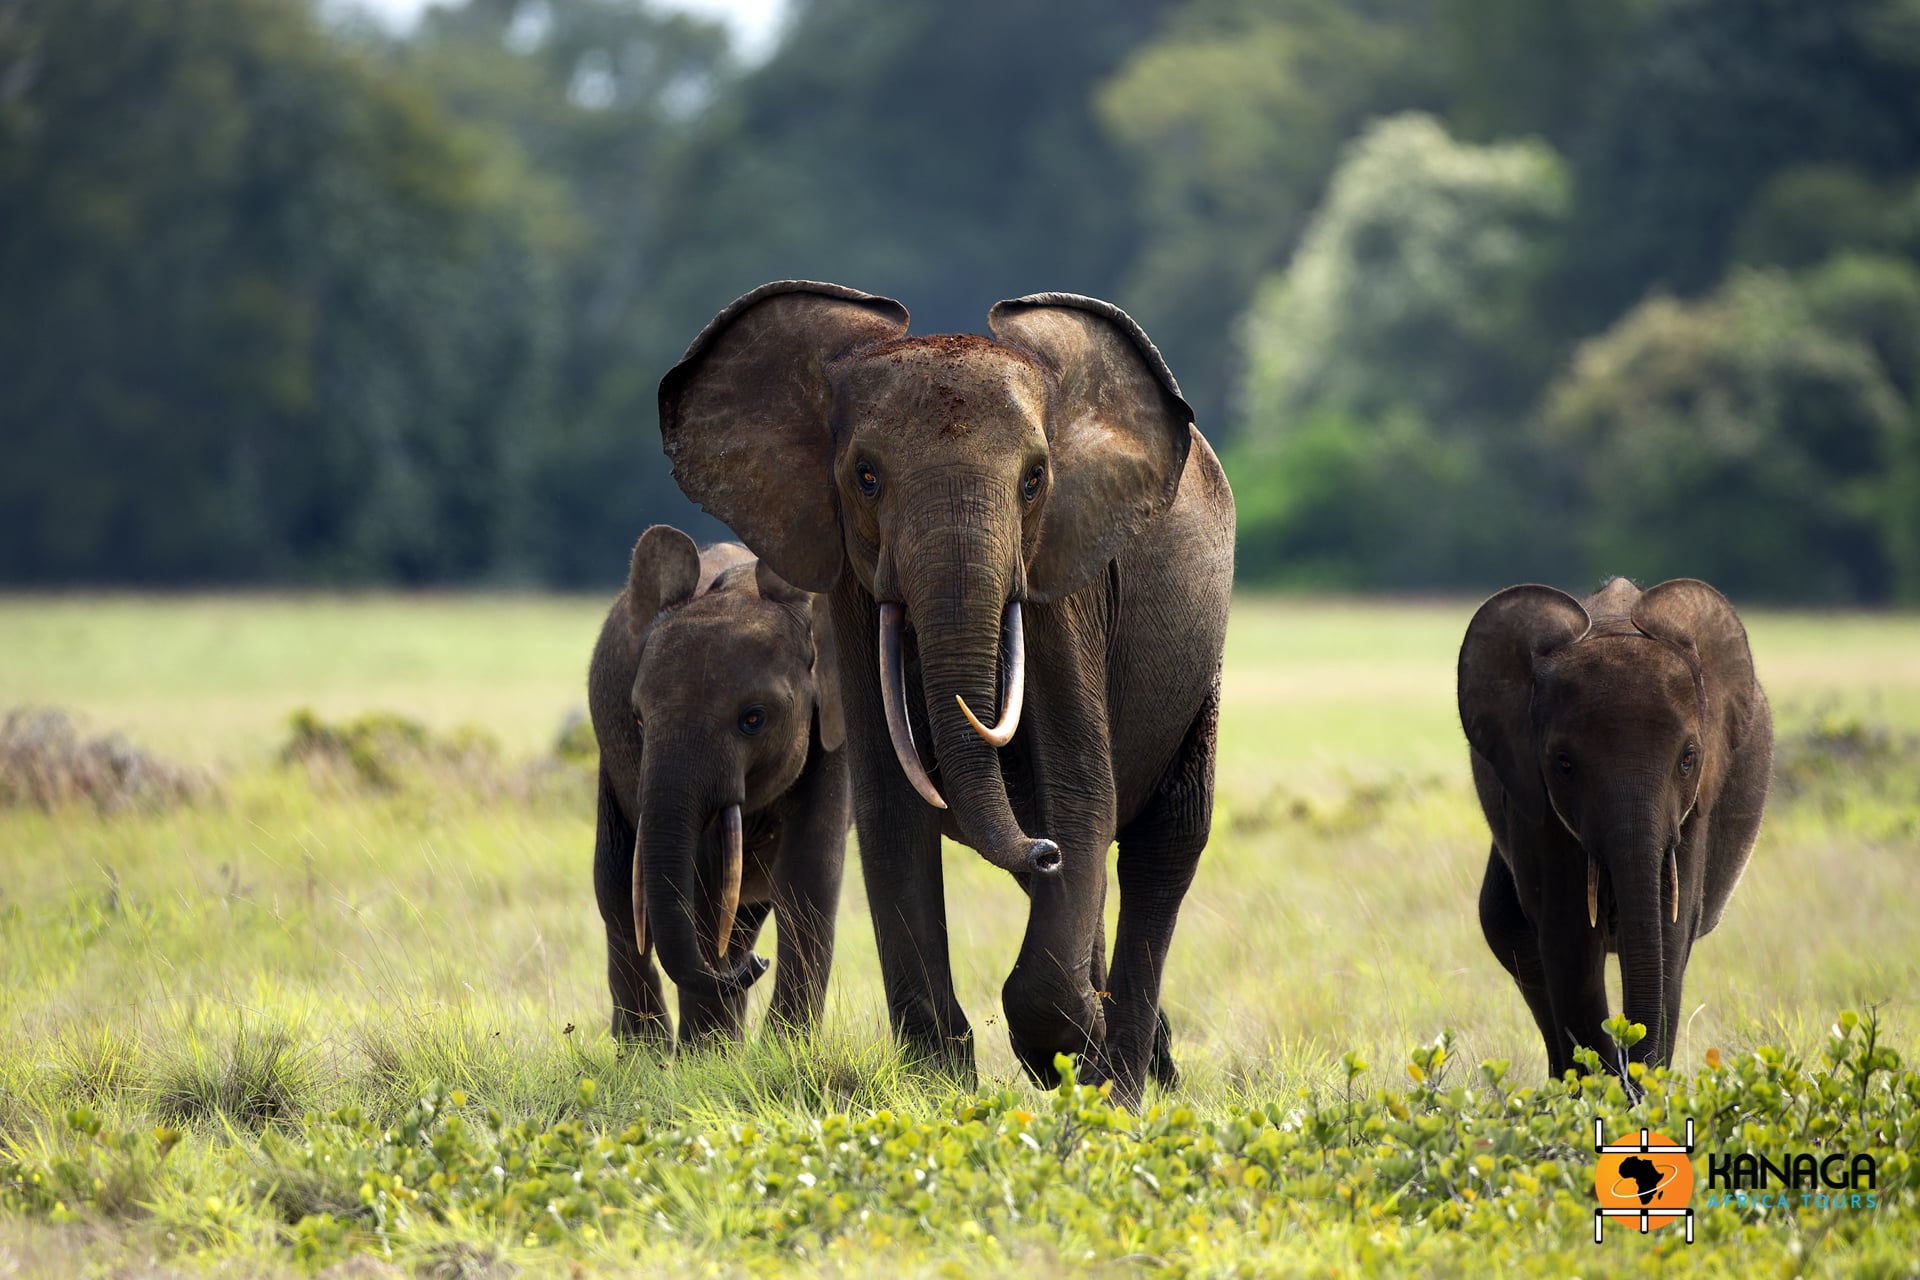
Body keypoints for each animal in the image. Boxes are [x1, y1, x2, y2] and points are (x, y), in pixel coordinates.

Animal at [587, 524, 849, 1049]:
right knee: (616, 885)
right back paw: (646, 1053)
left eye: (754, 719)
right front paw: (707, 1055)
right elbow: (700, 879)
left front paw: (785, 1050)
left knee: (742, 909)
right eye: (639, 721)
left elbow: (809, 869)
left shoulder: (837, 727)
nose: (757, 966)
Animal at [657, 280, 1235, 1105]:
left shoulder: (1066, 580)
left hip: (1201, 658)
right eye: (865, 476)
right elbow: (890, 805)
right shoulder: (848, 581)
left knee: (1166, 839)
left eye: (1034, 478)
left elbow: (1079, 791)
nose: (1042, 851)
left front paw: (1056, 1055)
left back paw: (1119, 1084)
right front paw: (940, 1085)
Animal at [1458, 576, 1772, 1077]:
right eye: (1563, 764)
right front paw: (1603, 1088)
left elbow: (1668, 937)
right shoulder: (1537, 807)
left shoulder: (1694, 813)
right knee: (1512, 939)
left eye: (1689, 759)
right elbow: (1569, 942)